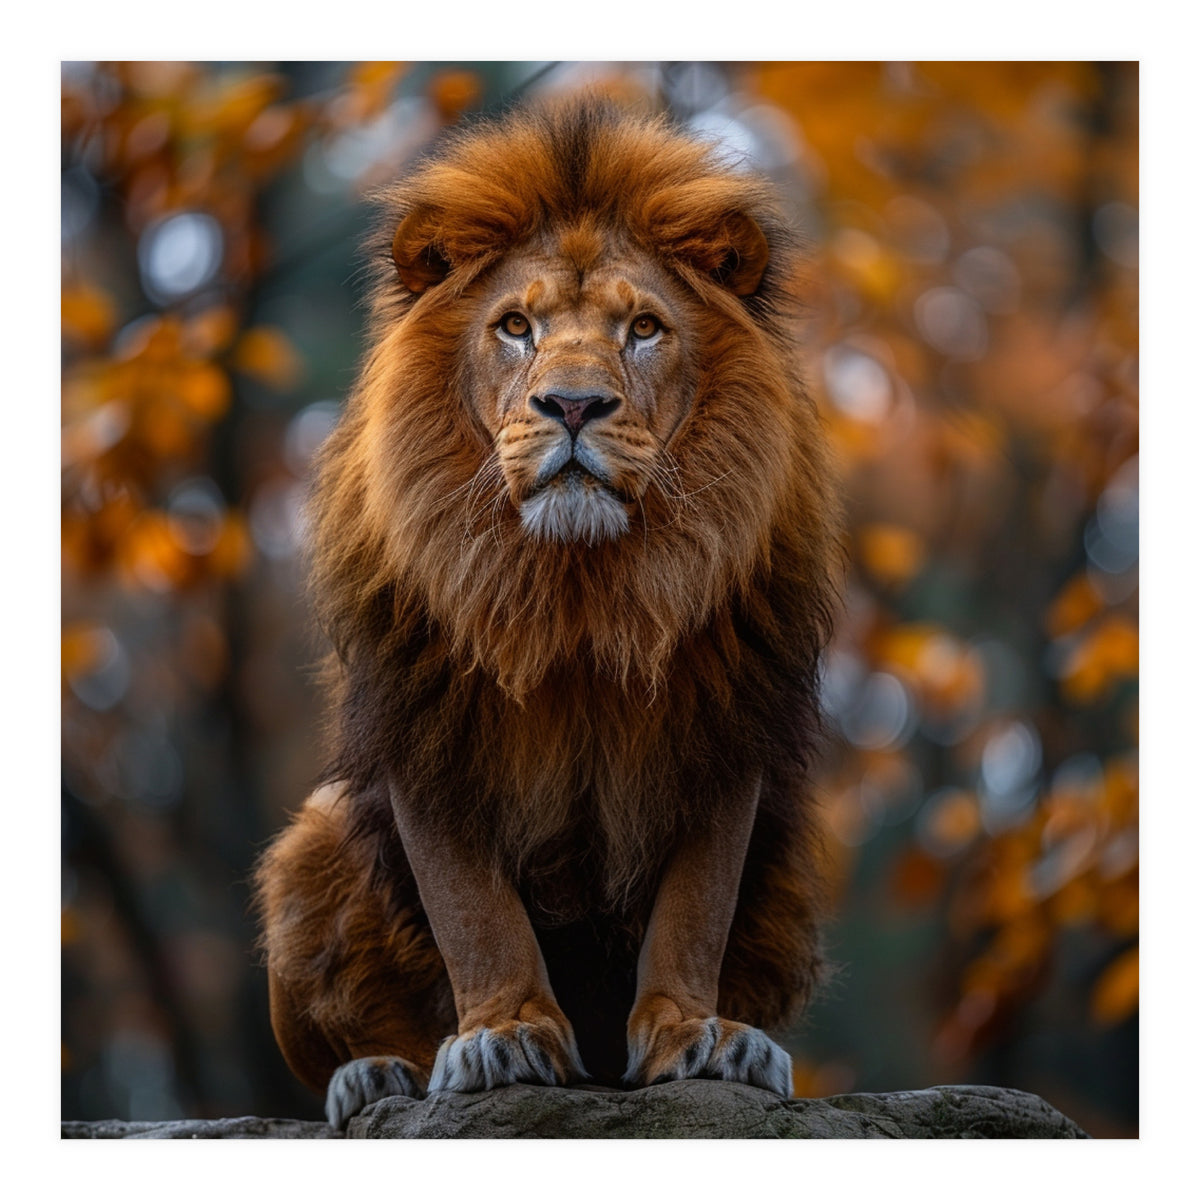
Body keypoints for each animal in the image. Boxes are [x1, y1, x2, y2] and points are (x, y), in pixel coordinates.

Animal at [254, 95, 842, 1129]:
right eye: (516, 326)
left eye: (643, 327)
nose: (572, 404)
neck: (578, 592)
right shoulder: (424, 724)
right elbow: (472, 911)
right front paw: (503, 1036)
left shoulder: (727, 724)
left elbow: (695, 909)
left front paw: (697, 1035)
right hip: (307, 843)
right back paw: (377, 1074)